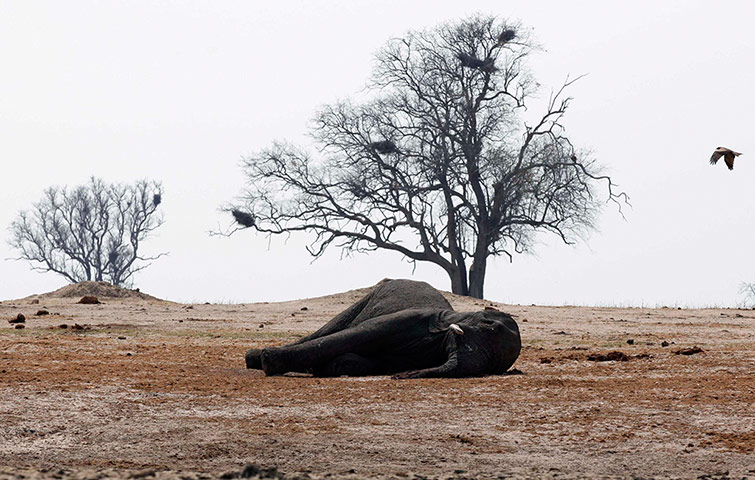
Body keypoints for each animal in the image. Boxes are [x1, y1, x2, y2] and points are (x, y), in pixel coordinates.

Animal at [244, 279, 521, 379]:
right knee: (327, 332)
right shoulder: (410, 318)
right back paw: (254, 358)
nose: (401, 377)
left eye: (492, 365)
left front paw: (323, 368)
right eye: (489, 324)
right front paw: (268, 361)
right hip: (365, 299)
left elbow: (351, 360)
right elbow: (354, 336)